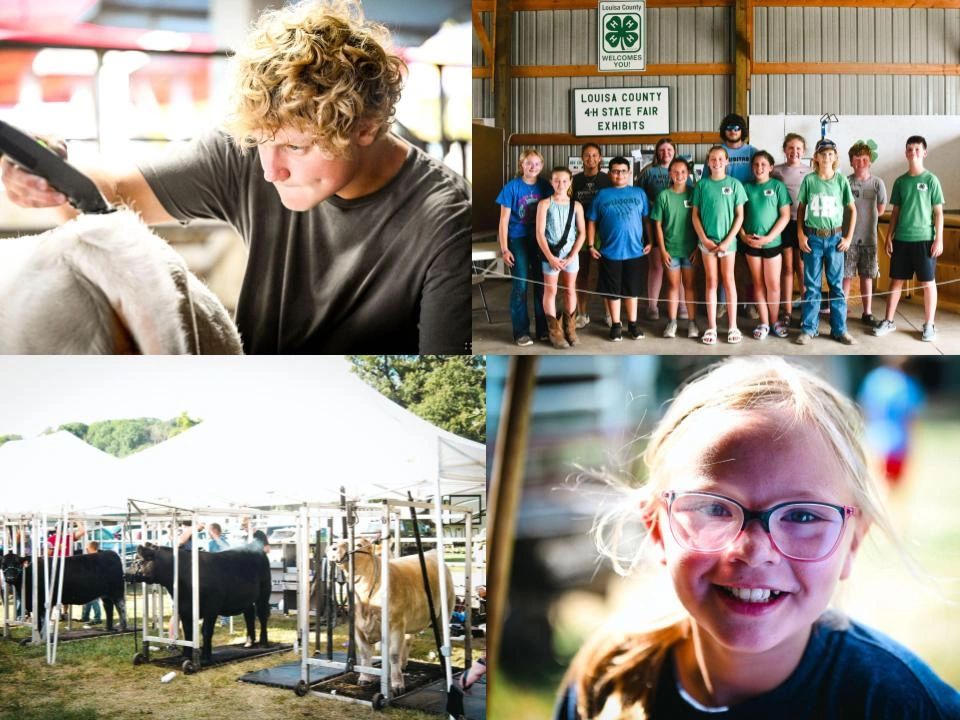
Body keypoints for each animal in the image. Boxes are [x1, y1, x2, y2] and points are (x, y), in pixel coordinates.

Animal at [0, 548, 128, 632]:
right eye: (3, 565)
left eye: (17, 563)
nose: (10, 578)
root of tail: (110, 553)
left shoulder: (42, 603)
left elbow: (41, 620)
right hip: (105, 594)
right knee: (109, 608)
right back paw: (108, 628)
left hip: (117, 590)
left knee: (121, 606)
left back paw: (122, 628)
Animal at [124, 544, 270, 660]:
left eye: (138, 561)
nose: (125, 574)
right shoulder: (184, 609)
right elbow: (188, 633)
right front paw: (186, 655)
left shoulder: (211, 608)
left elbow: (206, 631)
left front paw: (205, 655)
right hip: (247, 599)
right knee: (249, 615)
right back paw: (249, 642)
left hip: (264, 593)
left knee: (262, 615)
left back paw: (264, 643)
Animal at [332, 536, 456, 696]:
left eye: (358, 544)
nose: (334, 548)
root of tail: (431, 552)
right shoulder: (358, 627)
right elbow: (365, 654)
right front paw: (365, 677)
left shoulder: (396, 624)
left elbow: (393, 654)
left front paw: (397, 684)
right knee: (408, 640)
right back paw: (403, 664)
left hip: (444, 612)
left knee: (441, 639)